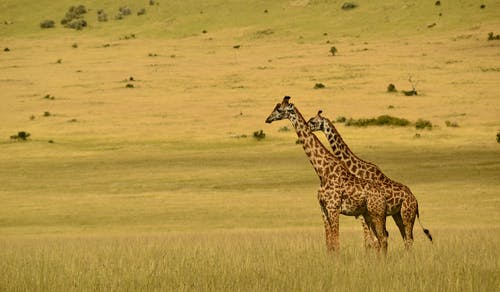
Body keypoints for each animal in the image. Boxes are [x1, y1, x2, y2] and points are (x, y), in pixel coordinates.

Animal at [264, 96, 388, 251]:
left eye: (279, 109)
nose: (268, 119)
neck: (323, 172)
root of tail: (383, 196)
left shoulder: (333, 208)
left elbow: (336, 243)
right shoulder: (323, 209)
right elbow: (329, 245)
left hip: (376, 213)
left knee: (382, 239)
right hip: (368, 214)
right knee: (378, 240)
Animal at [306, 110, 432, 249]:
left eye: (313, 121)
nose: (307, 127)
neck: (356, 169)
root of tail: (415, 200)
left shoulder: (363, 212)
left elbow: (371, 241)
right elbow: (372, 240)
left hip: (407, 215)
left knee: (408, 238)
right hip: (397, 215)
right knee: (405, 237)